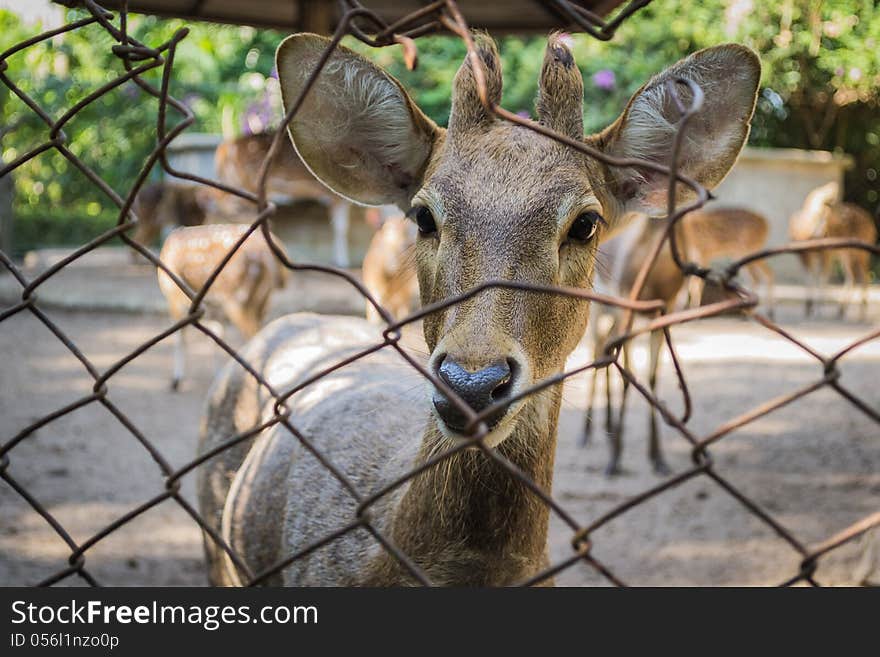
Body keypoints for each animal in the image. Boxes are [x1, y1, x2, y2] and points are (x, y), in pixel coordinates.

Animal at [155, 224, 286, 390]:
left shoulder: (174, 297)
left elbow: (180, 336)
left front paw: (176, 381)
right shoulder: (213, 307)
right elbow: (216, 334)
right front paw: (216, 376)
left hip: (238, 299)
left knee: (253, 335)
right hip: (262, 299)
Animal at [213, 131, 354, 266]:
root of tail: (223, 149)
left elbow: (341, 227)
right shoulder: (336, 196)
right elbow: (340, 228)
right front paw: (342, 262)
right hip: (245, 182)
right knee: (220, 198)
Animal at [788, 182, 876, 320]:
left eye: (825, 217)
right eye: (819, 216)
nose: (821, 234)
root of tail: (870, 221)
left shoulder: (826, 255)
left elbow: (822, 280)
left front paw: (817, 310)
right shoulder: (805, 257)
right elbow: (810, 278)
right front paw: (808, 306)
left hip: (860, 252)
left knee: (864, 277)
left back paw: (861, 314)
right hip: (844, 253)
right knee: (852, 276)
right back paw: (841, 310)